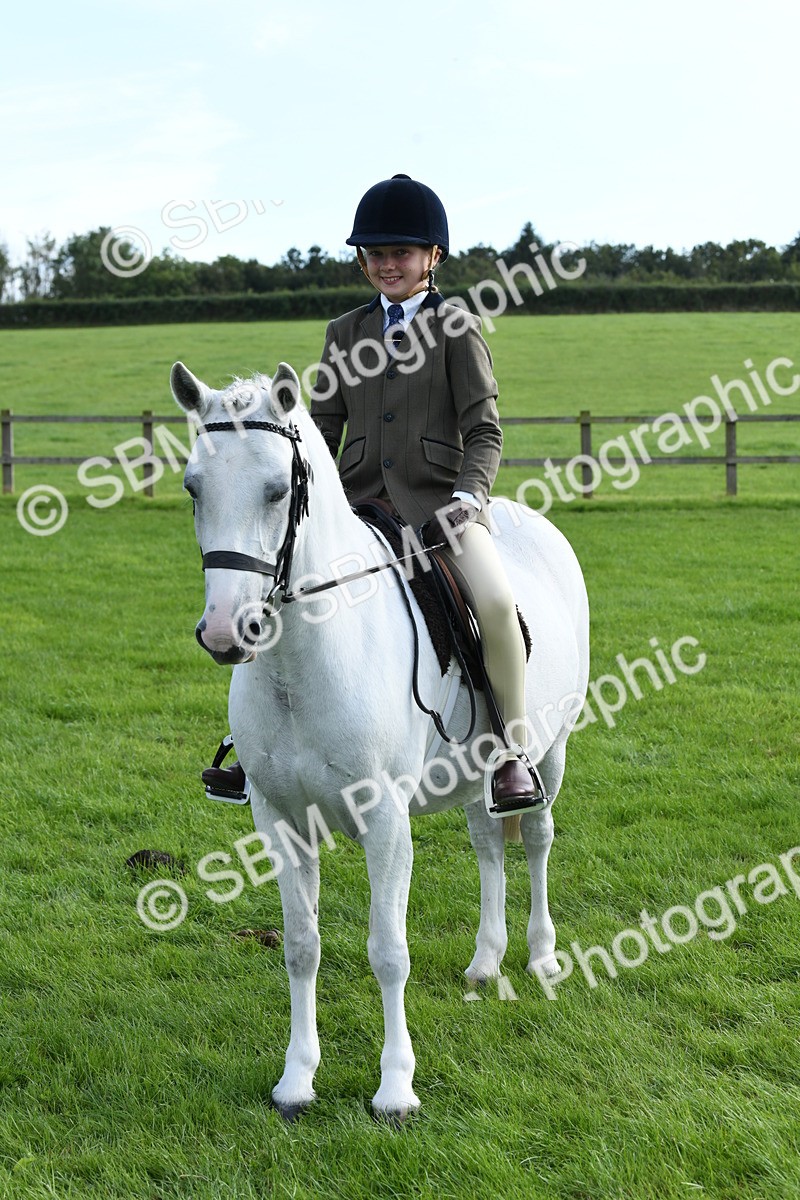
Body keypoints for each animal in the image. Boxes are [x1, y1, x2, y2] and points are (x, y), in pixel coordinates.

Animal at [171, 360, 590, 1121]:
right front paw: (297, 1079)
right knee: (489, 844)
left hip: (549, 749)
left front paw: (396, 1088)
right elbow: (301, 946)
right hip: (475, 770)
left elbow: (388, 949)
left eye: (278, 490)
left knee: (537, 838)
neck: (303, 657)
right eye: (193, 487)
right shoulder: (279, 819)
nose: (225, 632)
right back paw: (486, 961)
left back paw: (541, 957)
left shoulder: (386, 819)